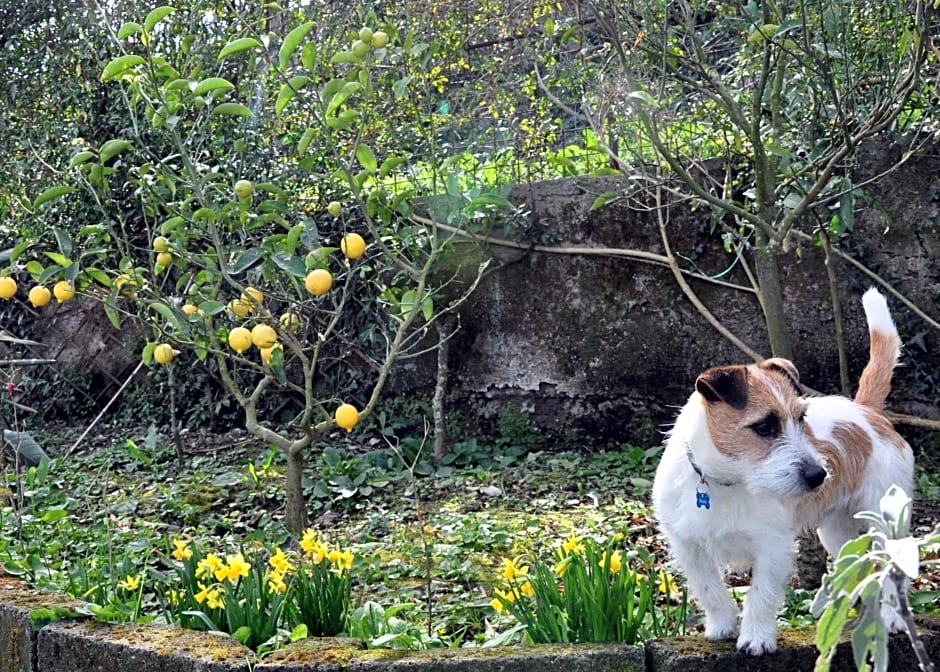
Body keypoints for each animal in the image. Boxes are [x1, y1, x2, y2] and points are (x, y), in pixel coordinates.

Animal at [652, 290, 912, 656]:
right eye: (764, 426)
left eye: (802, 418)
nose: (818, 476)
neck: (725, 482)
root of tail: (866, 411)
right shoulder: (688, 546)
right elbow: (709, 588)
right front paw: (721, 626)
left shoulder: (772, 547)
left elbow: (760, 594)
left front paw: (756, 637)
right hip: (836, 531)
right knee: (851, 566)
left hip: (885, 525)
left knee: (890, 570)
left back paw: (892, 618)